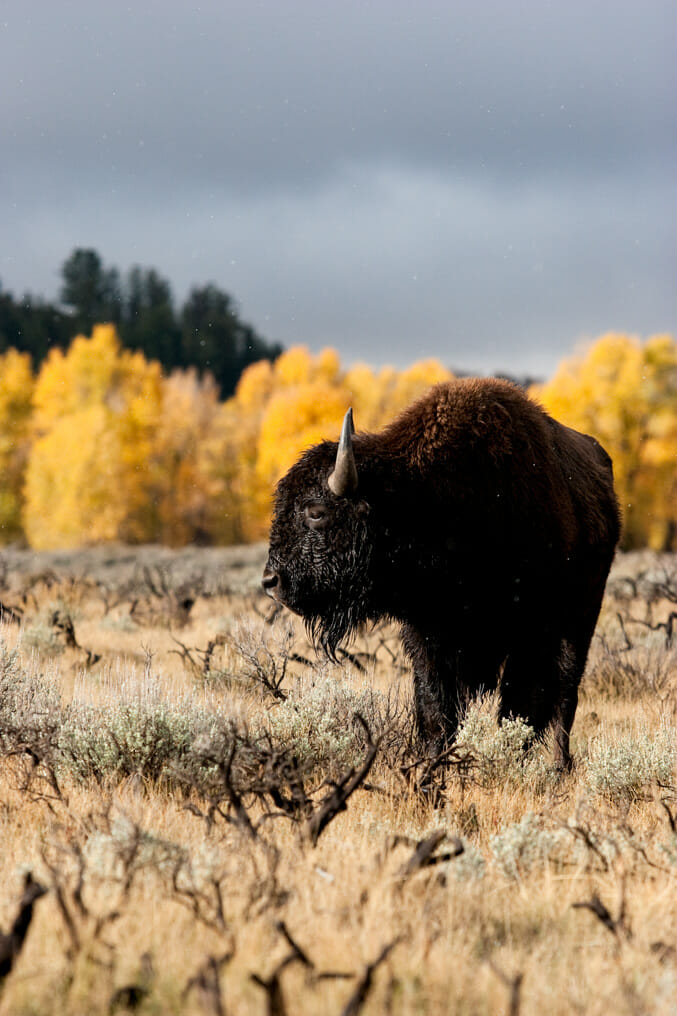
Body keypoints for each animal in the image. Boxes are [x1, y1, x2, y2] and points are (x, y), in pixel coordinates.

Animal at [260, 377, 618, 764]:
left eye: (316, 512)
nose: (272, 581)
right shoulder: (430, 636)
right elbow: (437, 712)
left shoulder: (532, 633)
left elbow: (518, 709)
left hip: (581, 619)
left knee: (566, 695)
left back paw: (558, 765)